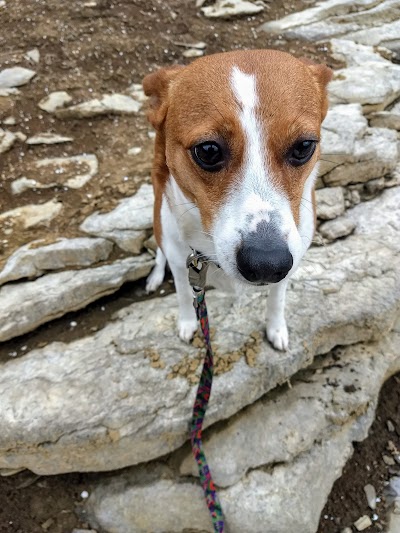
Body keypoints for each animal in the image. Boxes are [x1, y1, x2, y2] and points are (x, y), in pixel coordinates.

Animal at [142, 48, 330, 350]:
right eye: (208, 150)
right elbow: (183, 294)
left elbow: (277, 297)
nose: (267, 264)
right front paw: (187, 322)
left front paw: (276, 327)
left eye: (303, 146)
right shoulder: (180, 262)